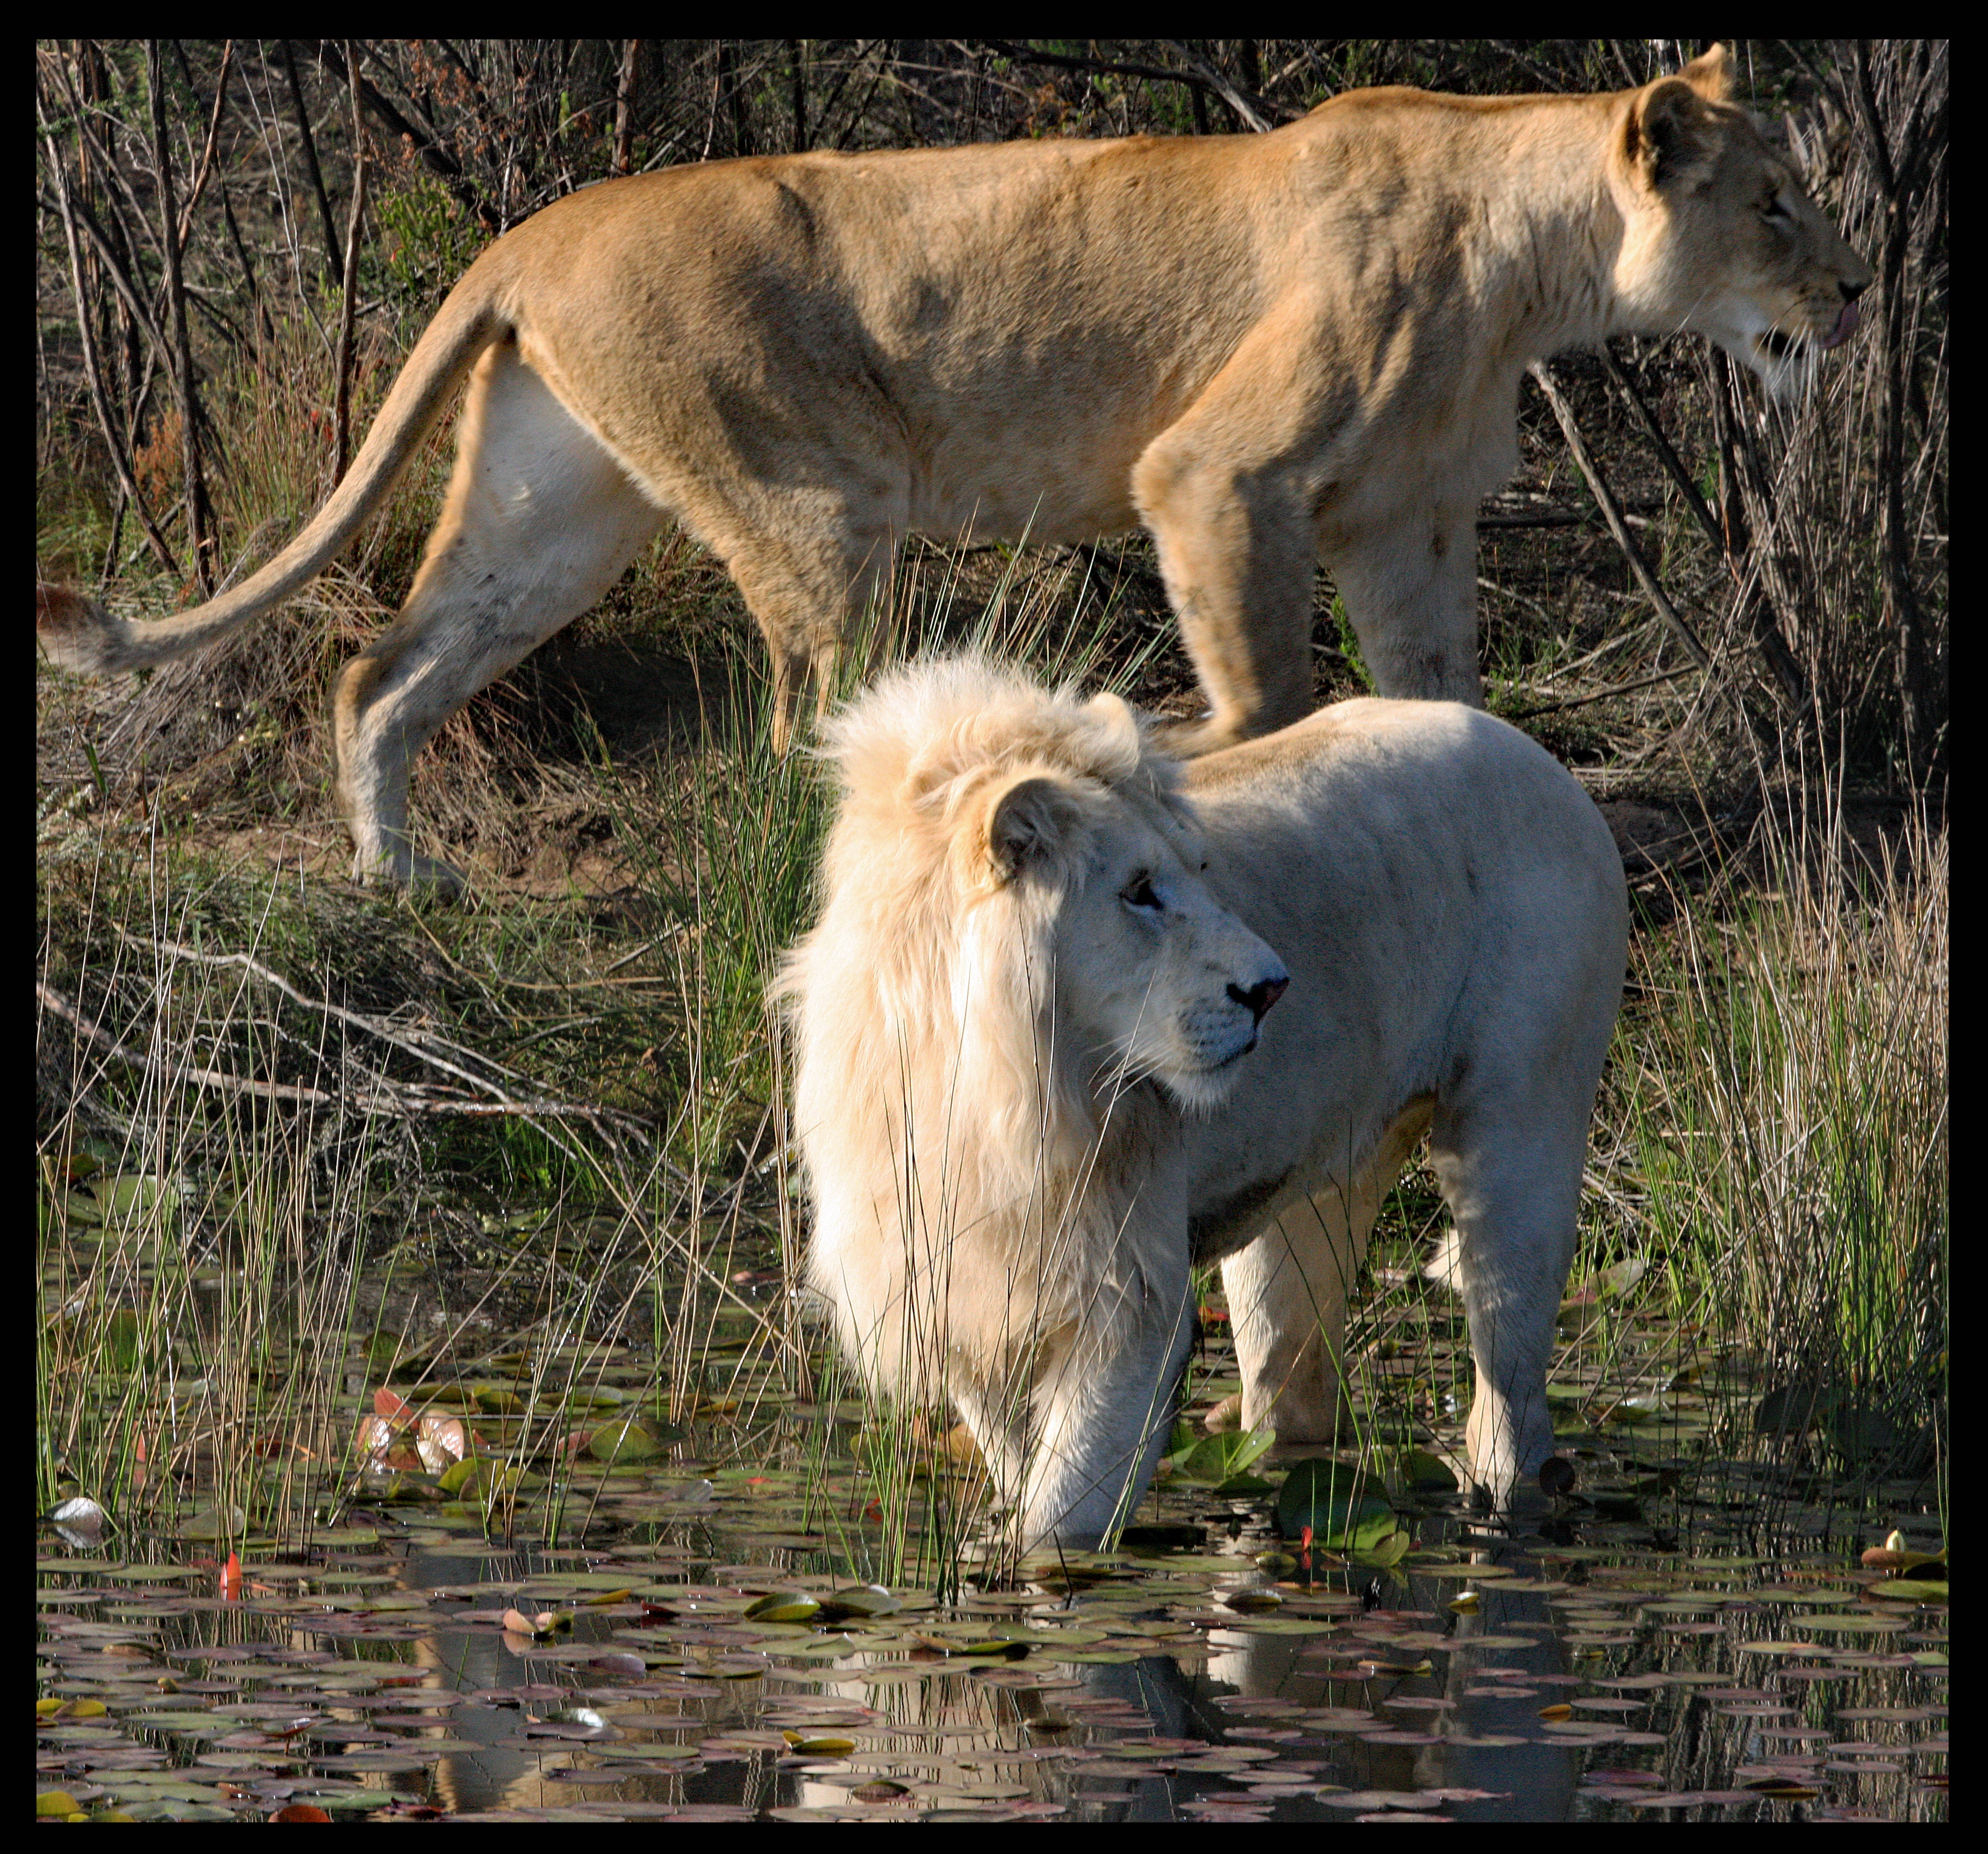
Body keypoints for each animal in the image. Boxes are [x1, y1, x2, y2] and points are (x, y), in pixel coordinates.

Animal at [38, 45, 1865, 887]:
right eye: (1773, 203)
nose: (1853, 291)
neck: (1533, 265)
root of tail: (530, 228)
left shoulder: (1409, 516)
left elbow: (1440, 694)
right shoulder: (1214, 473)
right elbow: (1263, 685)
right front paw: (1169, 749)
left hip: (557, 513)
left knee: (380, 667)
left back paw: (399, 870)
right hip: (812, 500)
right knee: (800, 721)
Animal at [778, 656, 1628, 1550]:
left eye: (1202, 870)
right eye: (1139, 891)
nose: (1274, 988)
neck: (981, 1085)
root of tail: (1537, 757)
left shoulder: (1126, 1298)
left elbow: (1059, 1519)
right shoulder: (953, 1283)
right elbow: (1014, 1466)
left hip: (1522, 1130)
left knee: (1510, 1390)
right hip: (1302, 1203)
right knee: (1290, 1384)